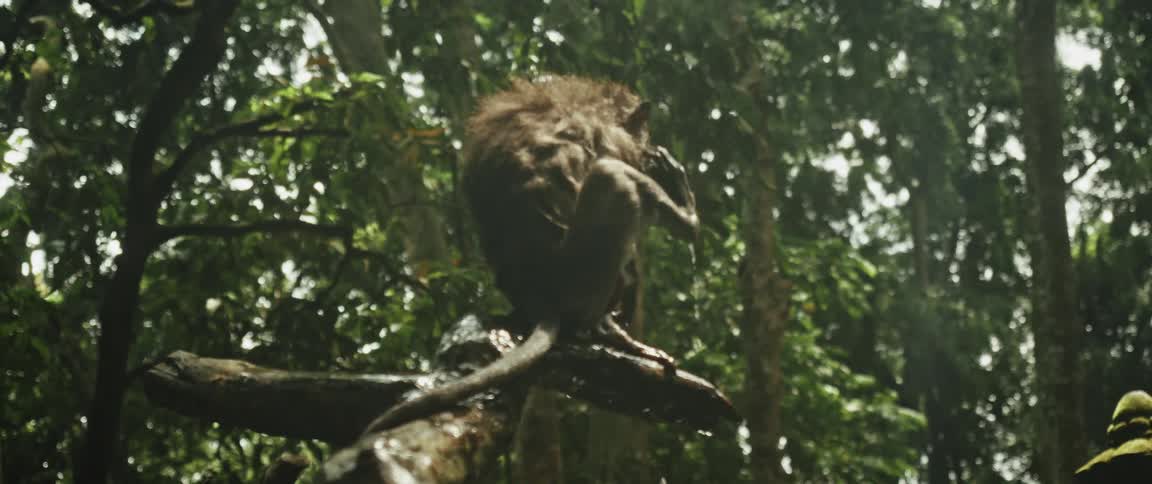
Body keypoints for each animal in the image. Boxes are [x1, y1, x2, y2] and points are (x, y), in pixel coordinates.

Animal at [363, 76, 699, 433]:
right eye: (644, 136)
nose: (650, 151)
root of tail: (541, 301)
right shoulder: (613, 142)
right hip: (582, 281)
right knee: (613, 175)